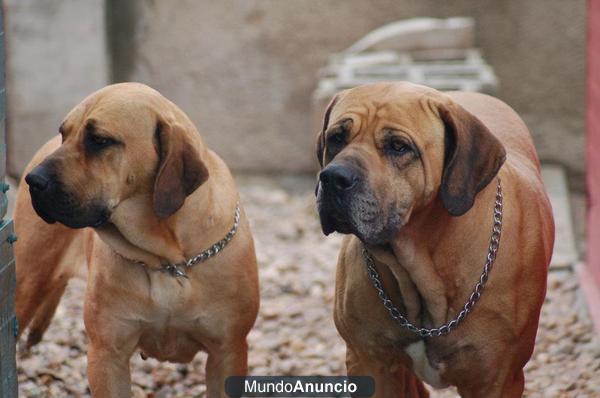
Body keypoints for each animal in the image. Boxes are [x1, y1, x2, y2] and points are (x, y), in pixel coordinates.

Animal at [14, 82, 258, 396]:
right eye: (64, 133)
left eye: (100, 140)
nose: (35, 180)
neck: (168, 258)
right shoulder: (107, 355)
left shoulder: (227, 352)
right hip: (26, 282)